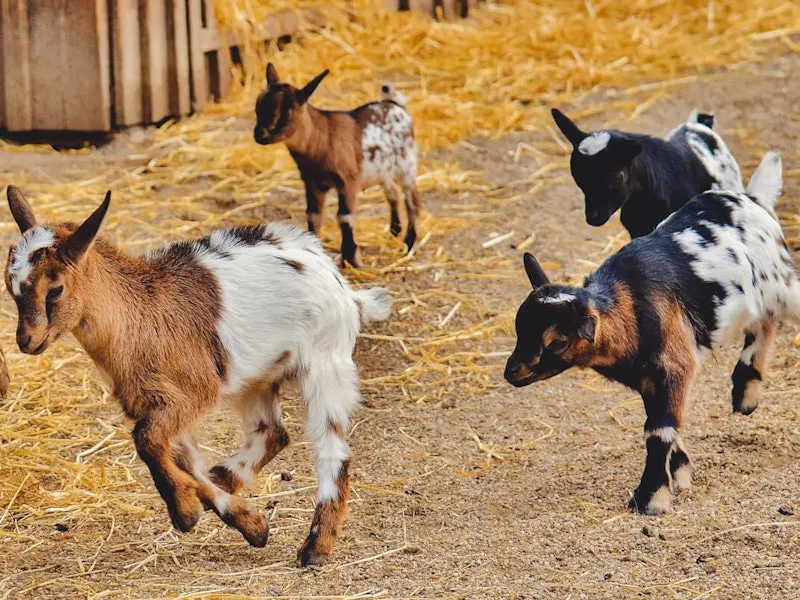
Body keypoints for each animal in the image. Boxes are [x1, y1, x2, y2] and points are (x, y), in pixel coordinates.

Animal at [4, 186, 392, 566]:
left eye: (55, 289)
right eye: (11, 288)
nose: (26, 341)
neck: (140, 314)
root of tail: (345, 289)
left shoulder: (192, 393)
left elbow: (147, 441)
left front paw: (187, 512)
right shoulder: (157, 403)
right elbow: (181, 459)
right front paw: (247, 522)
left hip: (326, 362)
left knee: (332, 449)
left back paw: (315, 547)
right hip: (256, 377)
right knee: (272, 433)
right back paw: (226, 477)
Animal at [254, 64, 421, 267]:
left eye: (288, 112)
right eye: (258, 104)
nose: (260, 135)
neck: (323, 139)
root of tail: (396, 105)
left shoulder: (348, 181)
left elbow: (345, 217)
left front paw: (352, 259)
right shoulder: (312, 183)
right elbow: (313, 215)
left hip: (407, 165)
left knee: (412, 201)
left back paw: (409, 244)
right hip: (383, 171)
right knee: (393, 193)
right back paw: (393, 234)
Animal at [505, 152, 796, 515]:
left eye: (556, 341)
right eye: (519, 326)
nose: (511, 372)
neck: (630, 305)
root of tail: (753, 199)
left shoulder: (674, 365)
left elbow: (658, 431)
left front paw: (650, 498)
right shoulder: (649, 379)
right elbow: (664, 423)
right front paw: (680, 475)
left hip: (781, 282)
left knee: (770, 318)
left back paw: (746, 391)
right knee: (764, 321)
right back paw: (746, 394)